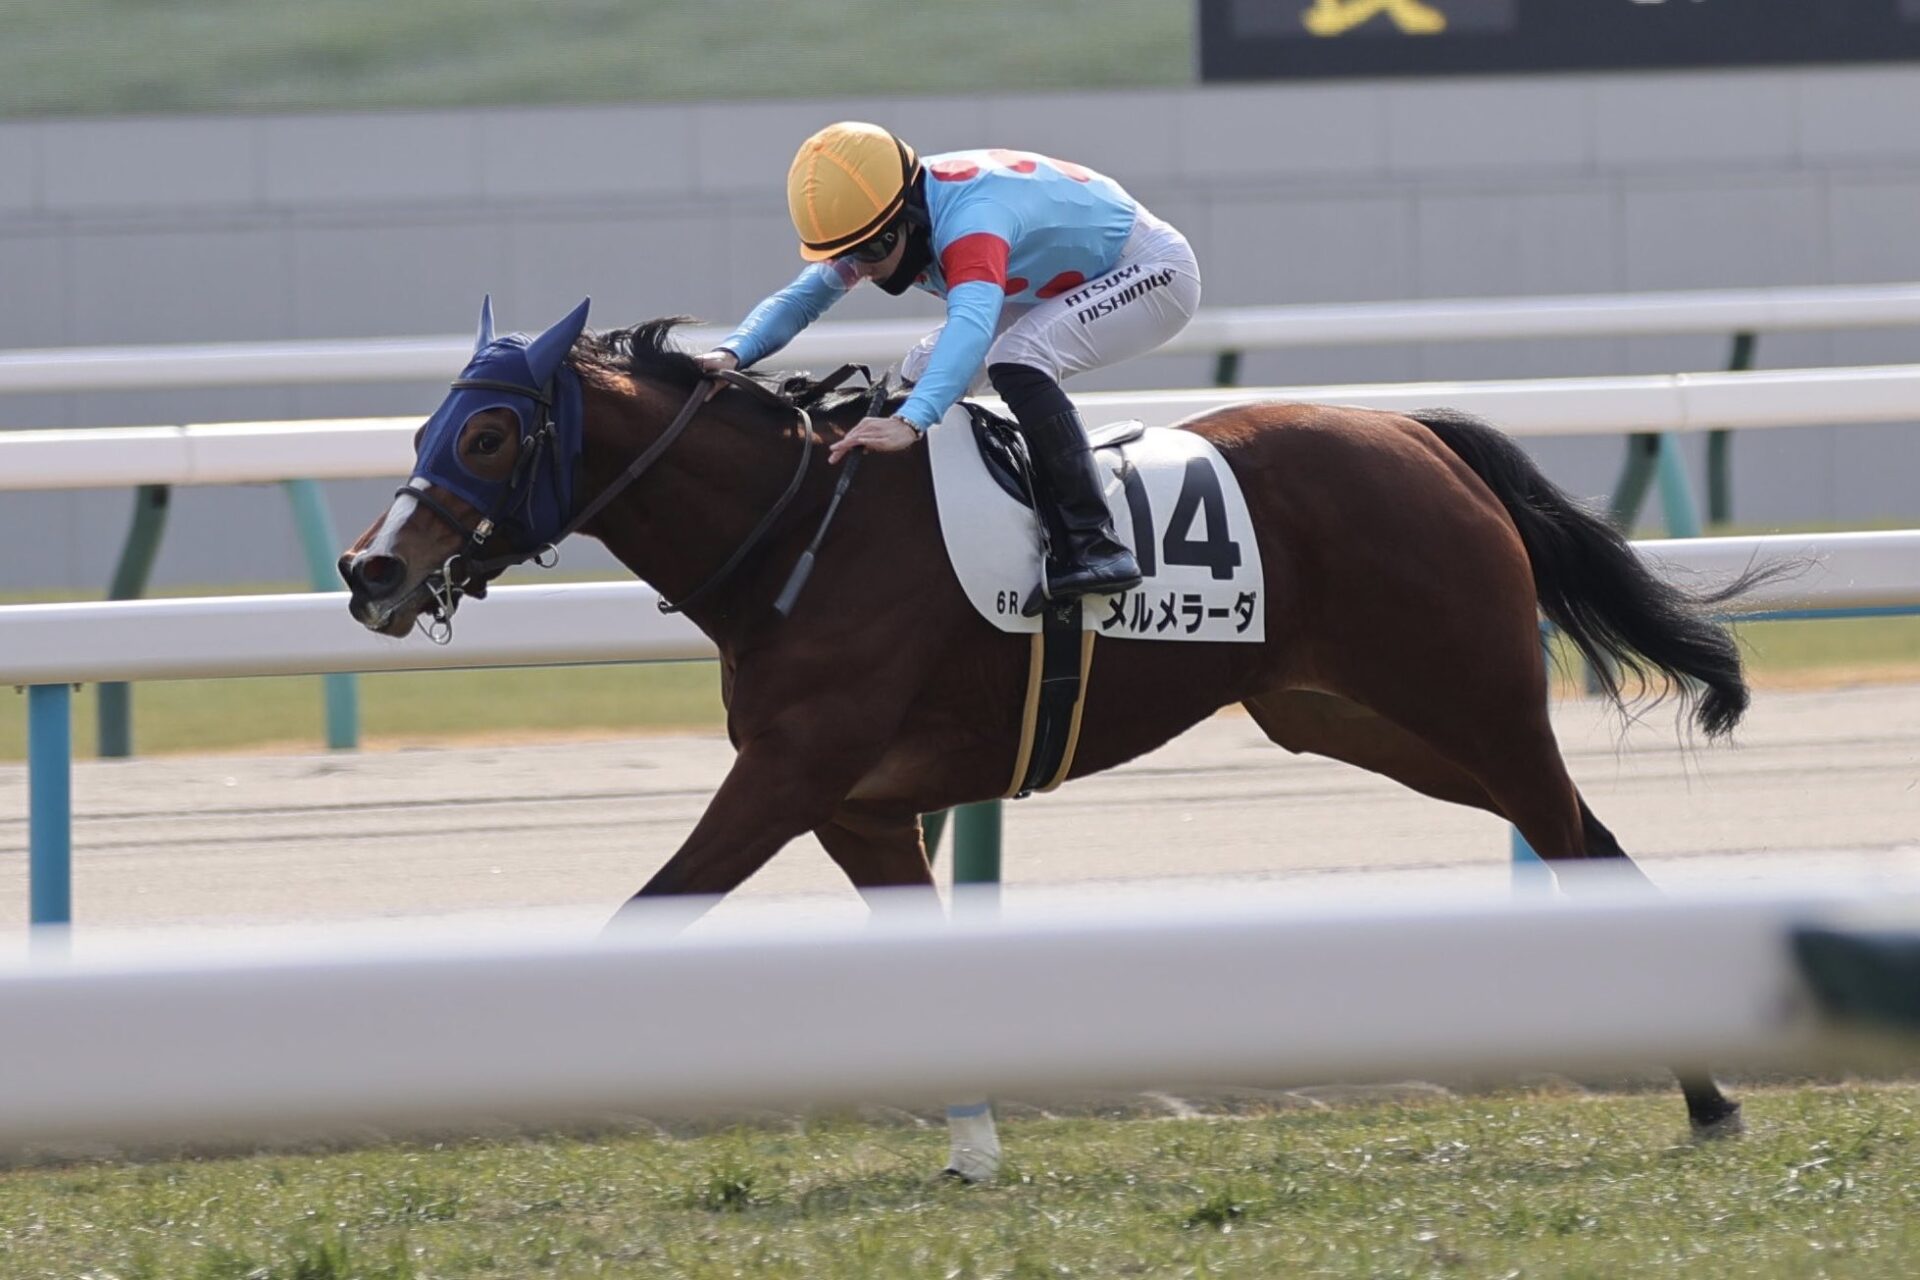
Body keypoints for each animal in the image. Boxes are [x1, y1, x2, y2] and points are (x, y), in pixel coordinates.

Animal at [341, 298, 1766, 1175]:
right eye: (425, 425)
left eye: (488, 429)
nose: (368, 570)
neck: (801, 530)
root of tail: (1420, 433)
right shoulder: (858, 803)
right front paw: (974, 1148)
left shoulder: (788, 775)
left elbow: (647, 910)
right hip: (1368, 722)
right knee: (1582, 835)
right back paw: (1704, 1086)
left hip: (1469, 700)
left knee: (1573, 837)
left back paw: (1709, 1090)